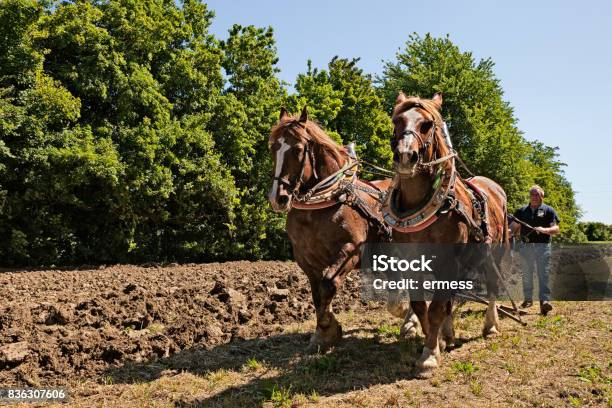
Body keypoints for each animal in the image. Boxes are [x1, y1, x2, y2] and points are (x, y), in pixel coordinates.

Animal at [268, 107, 418, 352]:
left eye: (298, 149)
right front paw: (323, 333)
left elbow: (328, 283)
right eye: (273, 148)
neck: (322, 203)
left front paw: (328, 328)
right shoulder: (305, 258)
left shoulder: (351, 250)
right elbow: (317, 294)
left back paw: (410, 321)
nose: (278, 198)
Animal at [384, 91, 510, 376]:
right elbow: (422, 306)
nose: (405, 156)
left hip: (495, 251)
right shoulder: (413, 261)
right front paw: (437, 339)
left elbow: (437, 308)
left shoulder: (448, 261)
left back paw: (491, 326)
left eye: (427, 124)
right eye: (397, 120)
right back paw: (449, 333)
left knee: (492, 285)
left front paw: (430, 355)